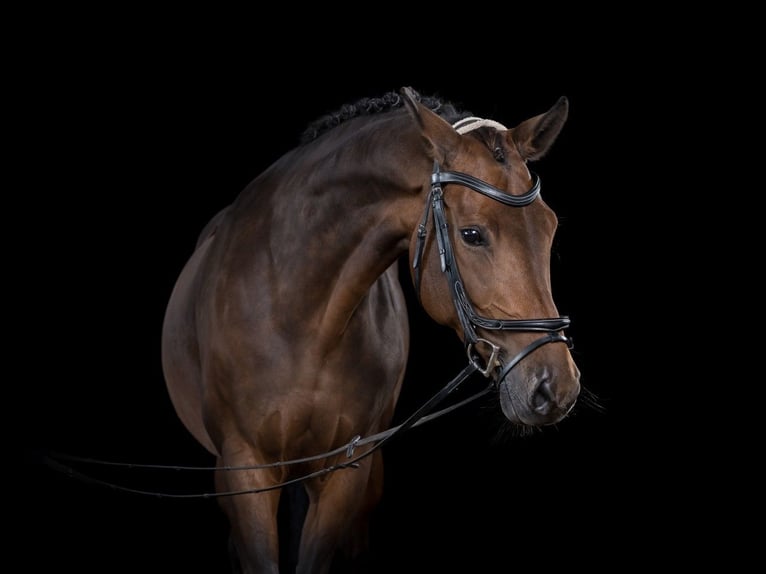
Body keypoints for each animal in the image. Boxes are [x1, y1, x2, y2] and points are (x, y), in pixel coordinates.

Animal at [160, 86, 584, 574]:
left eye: (549, 228)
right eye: (472, 234)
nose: (556, 387)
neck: (301, 316)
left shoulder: (347, 470)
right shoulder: (245, 469)